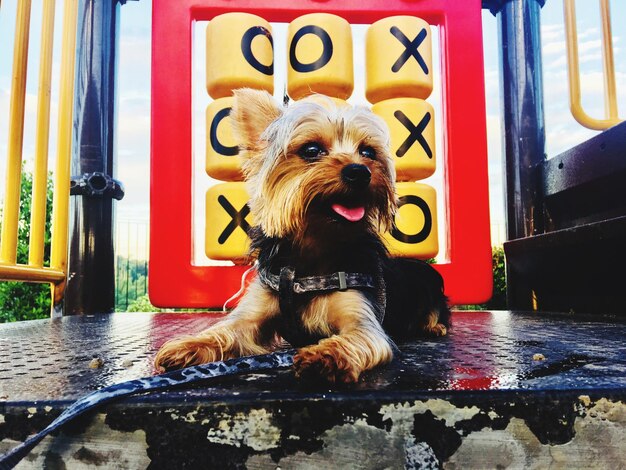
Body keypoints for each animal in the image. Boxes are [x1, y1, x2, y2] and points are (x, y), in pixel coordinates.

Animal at [155, 90, 448, 384]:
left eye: (368, 152)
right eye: (311, 150)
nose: (360, 171)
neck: (313, 252)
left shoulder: (364, 321)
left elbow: (355, 338)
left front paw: (325, 355)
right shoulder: (251, 316)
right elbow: (225, 331)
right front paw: (189, 346)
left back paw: (434, 327)